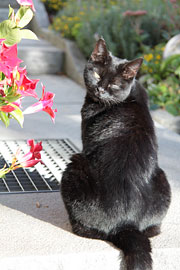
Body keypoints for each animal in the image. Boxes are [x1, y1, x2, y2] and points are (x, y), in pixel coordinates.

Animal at [60, 38, 170, 270]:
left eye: (113, 85)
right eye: (96, 75)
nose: (100, 90)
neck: (130, 94)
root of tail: (127, 224)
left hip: (74, 165)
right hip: (164, 181)